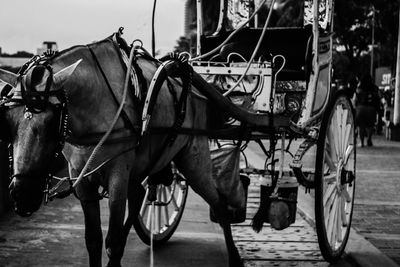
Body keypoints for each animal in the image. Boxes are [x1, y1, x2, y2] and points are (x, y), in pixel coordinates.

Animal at [0, 33, 244, 267]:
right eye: (8, 122)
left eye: (52, 122)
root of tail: (194, 90)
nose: (22, 195)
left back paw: (234, 255)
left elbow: (113, 240)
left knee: (219, 202)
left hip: (193, 160)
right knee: (139, 196)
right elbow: (93, 240)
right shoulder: (81, 179)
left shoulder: (118, 176)